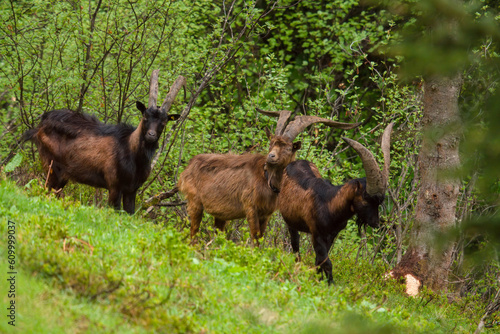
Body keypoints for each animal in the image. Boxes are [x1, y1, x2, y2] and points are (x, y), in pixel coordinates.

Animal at [22, 70, 185, 214]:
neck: (131, 154)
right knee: (46, 190)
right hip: (51, 166)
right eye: (145, 116)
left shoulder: (132, 189)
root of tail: (39, 127)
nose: (151, 135)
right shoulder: (114, 185)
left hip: (62, 175)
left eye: (164, 122)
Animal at [178, 108, 362, 244]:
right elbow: (255, 238)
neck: (266, 180)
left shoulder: (266, 214)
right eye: (271, 143)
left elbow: (261, 238)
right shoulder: (250, 207)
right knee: (193, 233)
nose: (270, 157)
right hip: (194, 202)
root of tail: (187, 168)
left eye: (288, 147)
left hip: (220, 215)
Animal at [280, 121, 392, 284]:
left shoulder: (332, 234)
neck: (330, 203)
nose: (376, 223)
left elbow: (320, 260)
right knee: (295, 244)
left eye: (379, 203)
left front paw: (320, 279)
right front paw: (329, 284)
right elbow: (326, 261)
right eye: (366, 201)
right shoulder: (316, 233)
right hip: (291, 222)